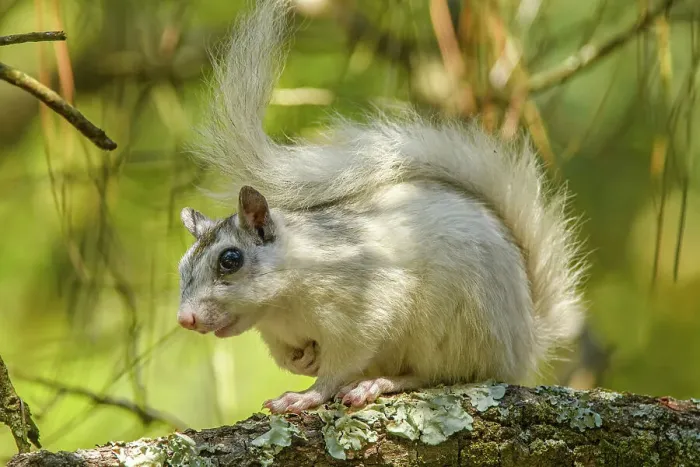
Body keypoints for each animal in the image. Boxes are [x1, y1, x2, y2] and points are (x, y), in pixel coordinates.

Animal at [176, 0, 586, 414]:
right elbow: (290, 358)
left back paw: (377, 383)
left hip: (449, 330)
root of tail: (523, 345)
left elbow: (341, 364)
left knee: (439, 375)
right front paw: (303, 360)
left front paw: (307, 395)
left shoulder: (361, 307)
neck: (279, 308)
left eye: (230, 260)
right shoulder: (277, 336)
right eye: (182, 267)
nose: (185, 319)